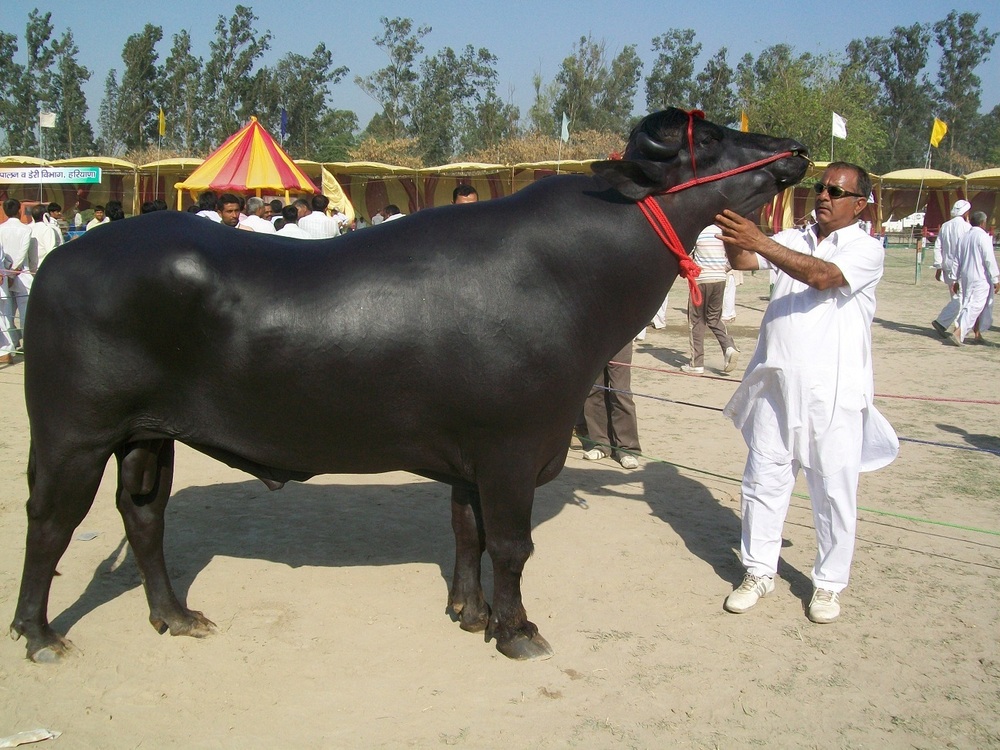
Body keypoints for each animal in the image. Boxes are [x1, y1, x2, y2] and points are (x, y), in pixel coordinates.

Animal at [10, 109, 808, 663]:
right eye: (710, 141)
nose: (798, 149)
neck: (569, 275)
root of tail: (60, 261)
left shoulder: (471, 460)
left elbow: (467, 534)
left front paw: (470, 613)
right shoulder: (512, 450)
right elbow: (511, 545)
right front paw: (516, 629)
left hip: (147, 437)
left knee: (143, 517)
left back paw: (174, 615)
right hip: (74, 436)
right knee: (49, 523)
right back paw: (39, 633)